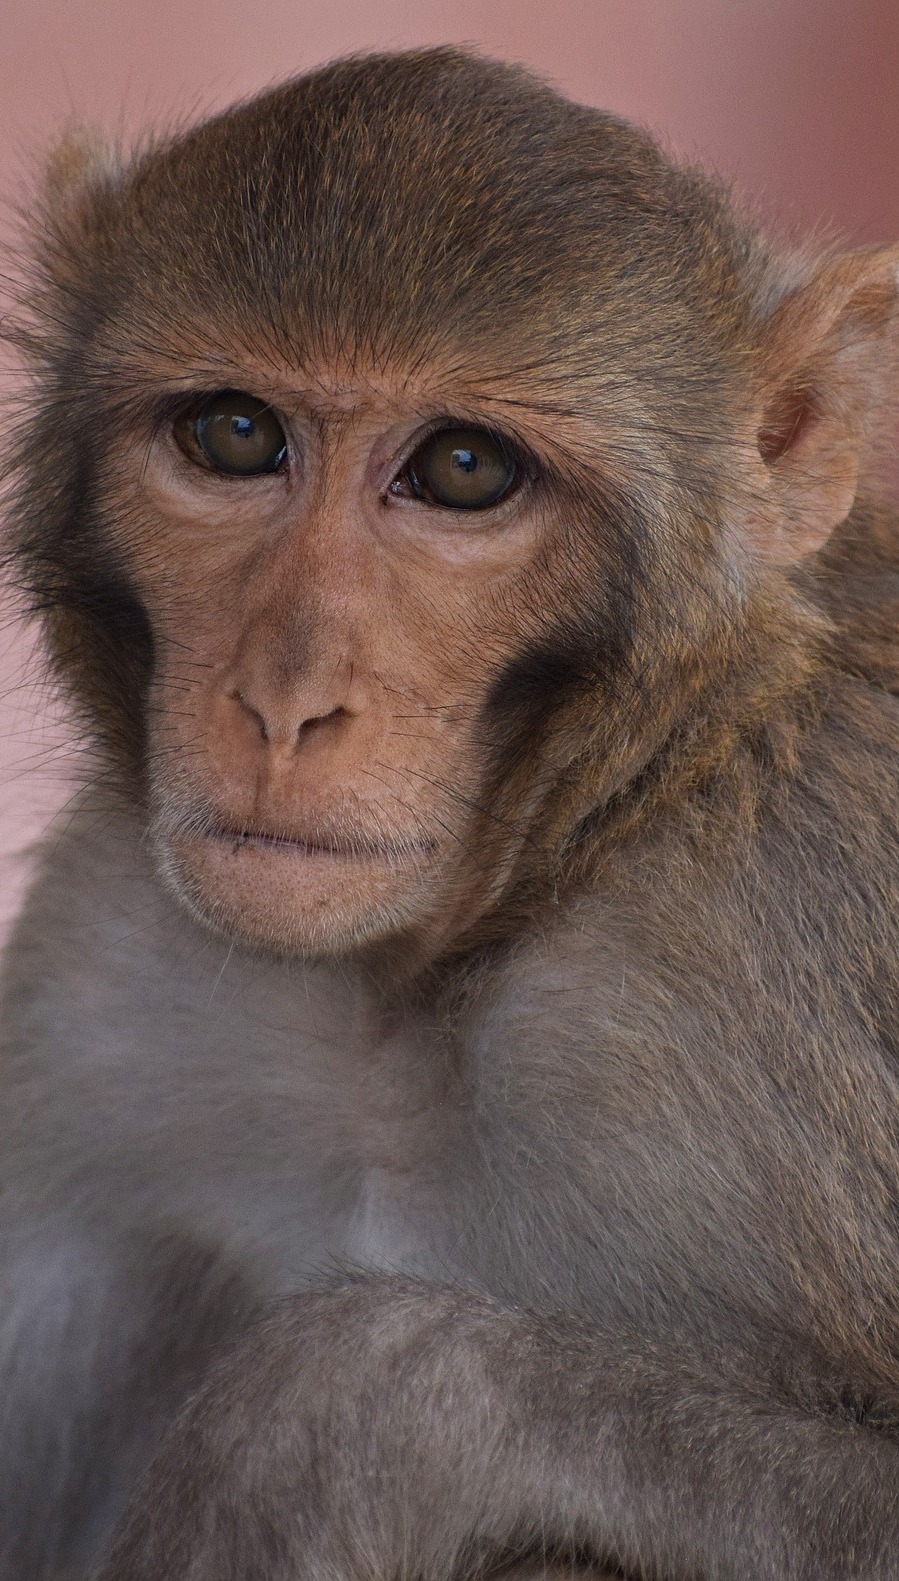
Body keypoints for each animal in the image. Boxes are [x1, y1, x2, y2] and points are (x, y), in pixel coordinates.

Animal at [0, 43, 891, 1581]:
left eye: (463, 470)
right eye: (234, 435)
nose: (285, 702)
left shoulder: (781, 941)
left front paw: (310, 1424)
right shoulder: (98, 975)